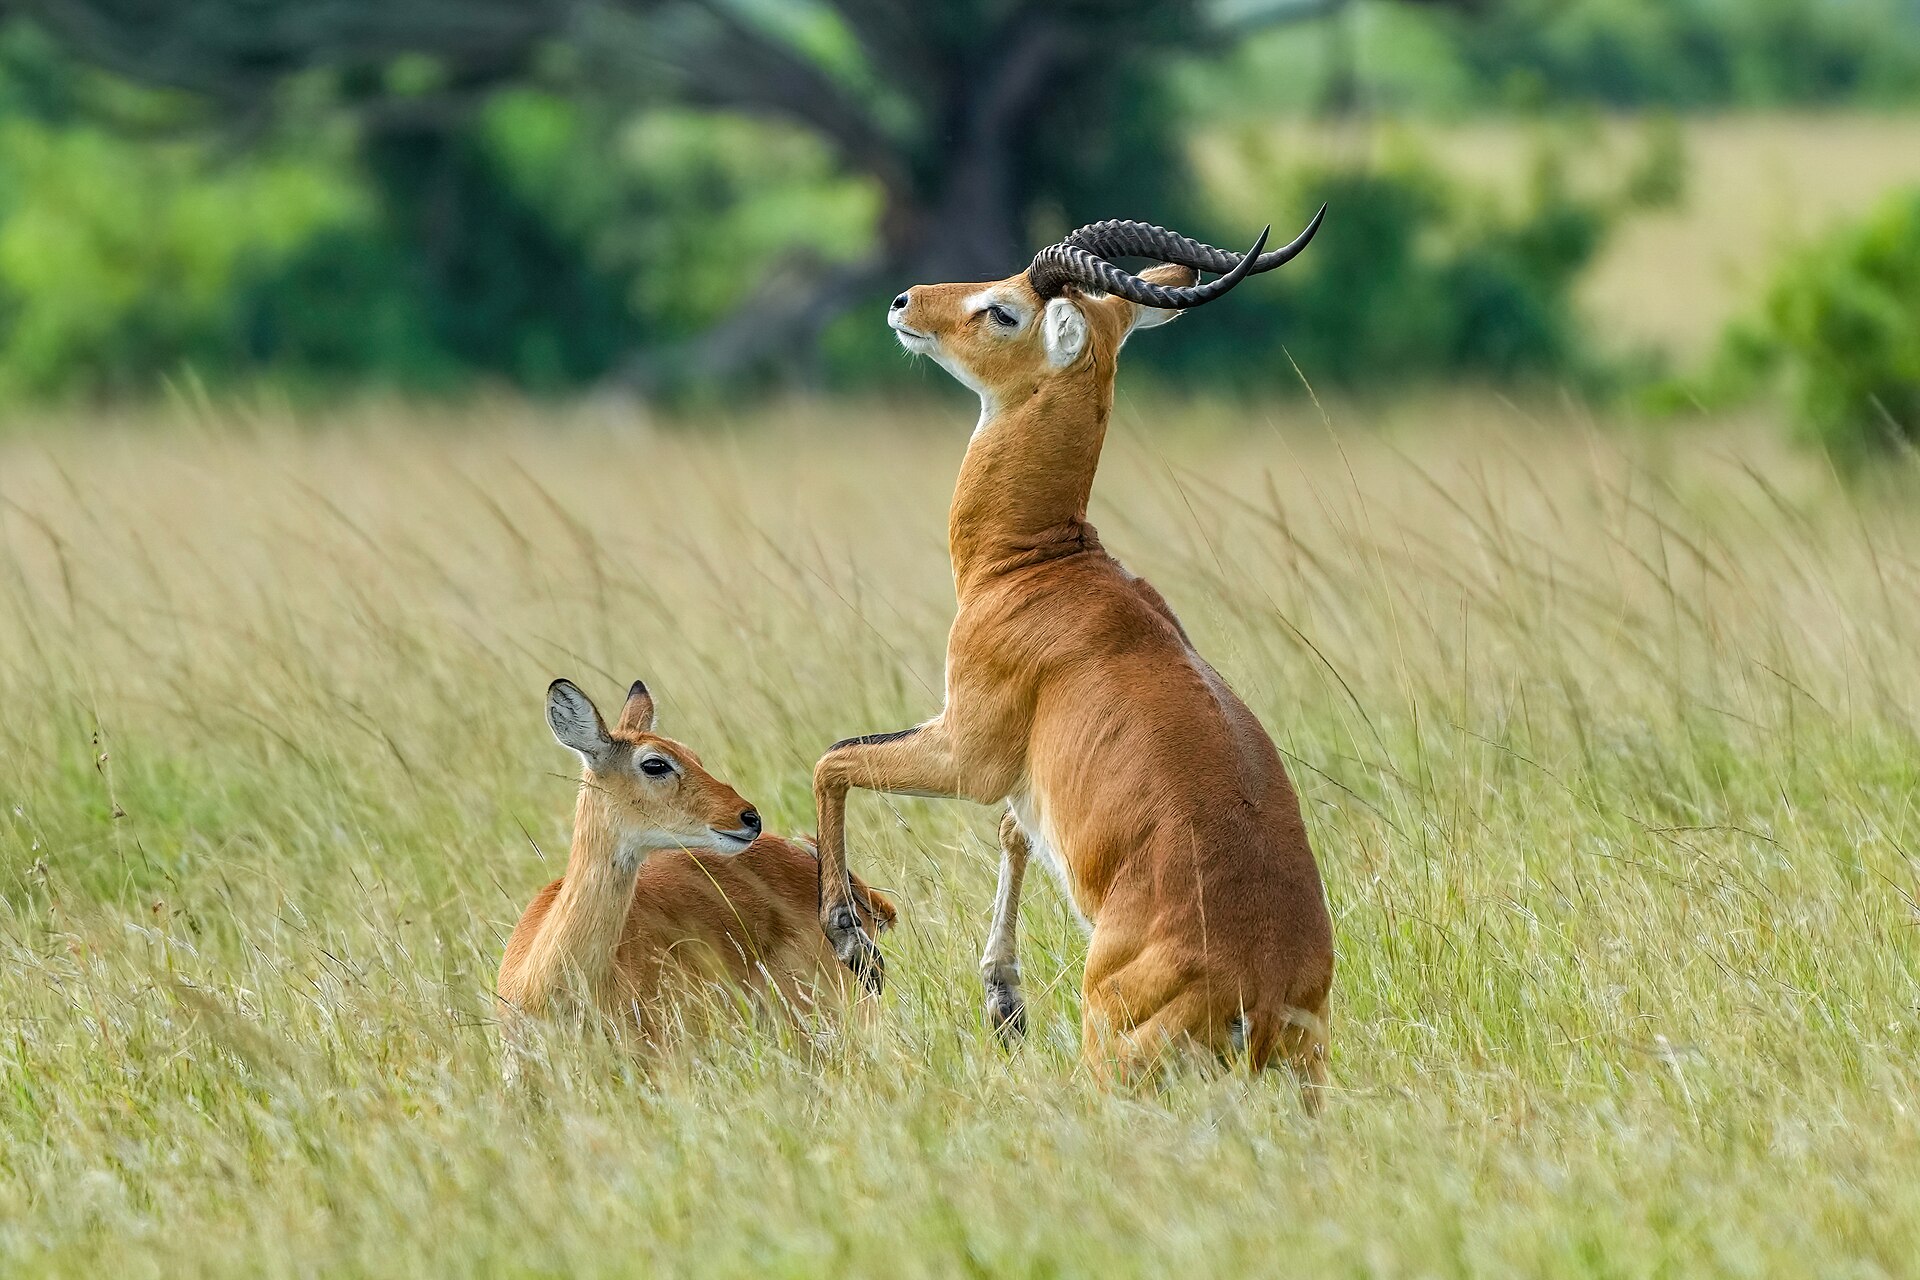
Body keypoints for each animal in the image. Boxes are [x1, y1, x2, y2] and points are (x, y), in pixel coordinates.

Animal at [812, 215, 1334, 1096]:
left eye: (1004, 311)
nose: (904, 301)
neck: (1037, 566)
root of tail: (1258, 991)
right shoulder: (1023, 779)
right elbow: (1013, 832)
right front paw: (1002, 1002)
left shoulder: (967, 752)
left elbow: (835, 758)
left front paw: (855, 944)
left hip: (1107, 1054)